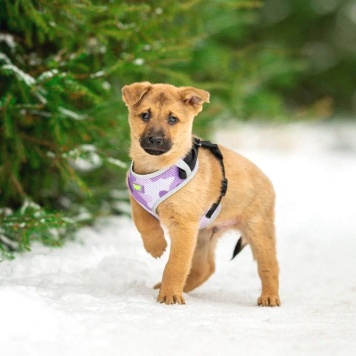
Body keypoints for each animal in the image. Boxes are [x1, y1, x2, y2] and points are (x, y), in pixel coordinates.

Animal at [122, 82, 280, 306]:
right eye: (145, 115)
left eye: (172, 119)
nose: (155, 140)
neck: (158, 167)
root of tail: (267, 181)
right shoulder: (138, 200)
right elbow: (144, 223)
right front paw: (156, 246)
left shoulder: (184, 226)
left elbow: (176, 264)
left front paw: (170, 295)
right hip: (205, 234)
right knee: (205, 267)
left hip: (257, 230)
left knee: (269, 266)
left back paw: (269, 297)